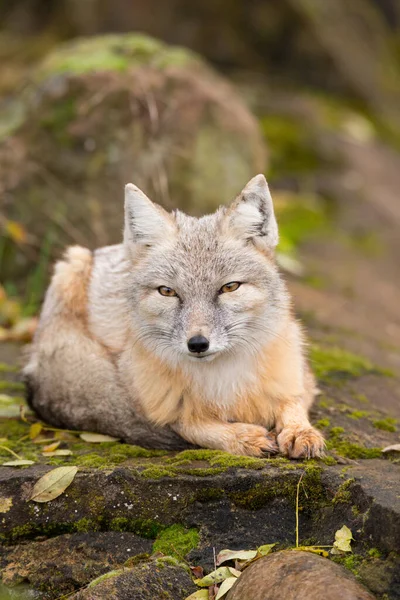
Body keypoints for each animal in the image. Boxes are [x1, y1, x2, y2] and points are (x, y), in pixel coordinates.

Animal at [23, 176, 324, 458]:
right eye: (167, 291)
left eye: (229, 287)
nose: (198, 344)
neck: (222, 381)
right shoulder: (152, 404)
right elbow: (189, 424)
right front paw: (242, 437)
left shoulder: (301, 379)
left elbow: (293, 403)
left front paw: (300, 431)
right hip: (70, 266)